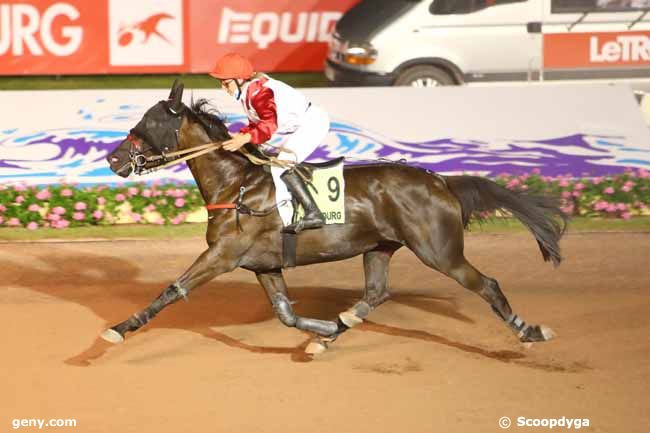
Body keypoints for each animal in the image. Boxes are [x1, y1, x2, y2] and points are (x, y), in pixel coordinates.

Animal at [104, 81, 564, 354]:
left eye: (149, 122)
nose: (113, 159)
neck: (235, 185)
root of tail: (440, 180)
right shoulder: (264, 264)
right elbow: (285, 314)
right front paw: (322, 330)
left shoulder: (223, 255)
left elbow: (172, 290)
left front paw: (120, 328)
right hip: (379, 247)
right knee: (376, 293)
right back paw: (337, 328)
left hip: (440, 252)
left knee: (487, 285)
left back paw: (529, 331)